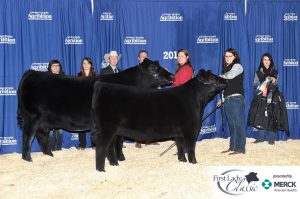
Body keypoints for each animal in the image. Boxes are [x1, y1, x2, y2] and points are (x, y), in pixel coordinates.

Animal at [17, 58, 173, 162]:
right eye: (155, 68)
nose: (171, 75)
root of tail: (31, 73)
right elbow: (118, 141)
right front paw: (119, 159)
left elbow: (118, 141)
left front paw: (119, 158)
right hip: (32, 117)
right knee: (27, 136)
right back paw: (27, 158)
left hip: (42, 120)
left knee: (41, 135)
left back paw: (48, 154)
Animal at [91, 69, 227, 171]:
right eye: (212, 77)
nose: (225, 80)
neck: (197, 100)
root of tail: (101, 85)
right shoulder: (190, 130)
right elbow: (190, 148)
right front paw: (193, 162)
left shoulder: (179, 133)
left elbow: (180, 146)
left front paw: (182, 160)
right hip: (107, 129)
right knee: (101, 146)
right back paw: (100, 169)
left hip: (113, 131)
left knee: (109, 147)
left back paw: (114, 164)